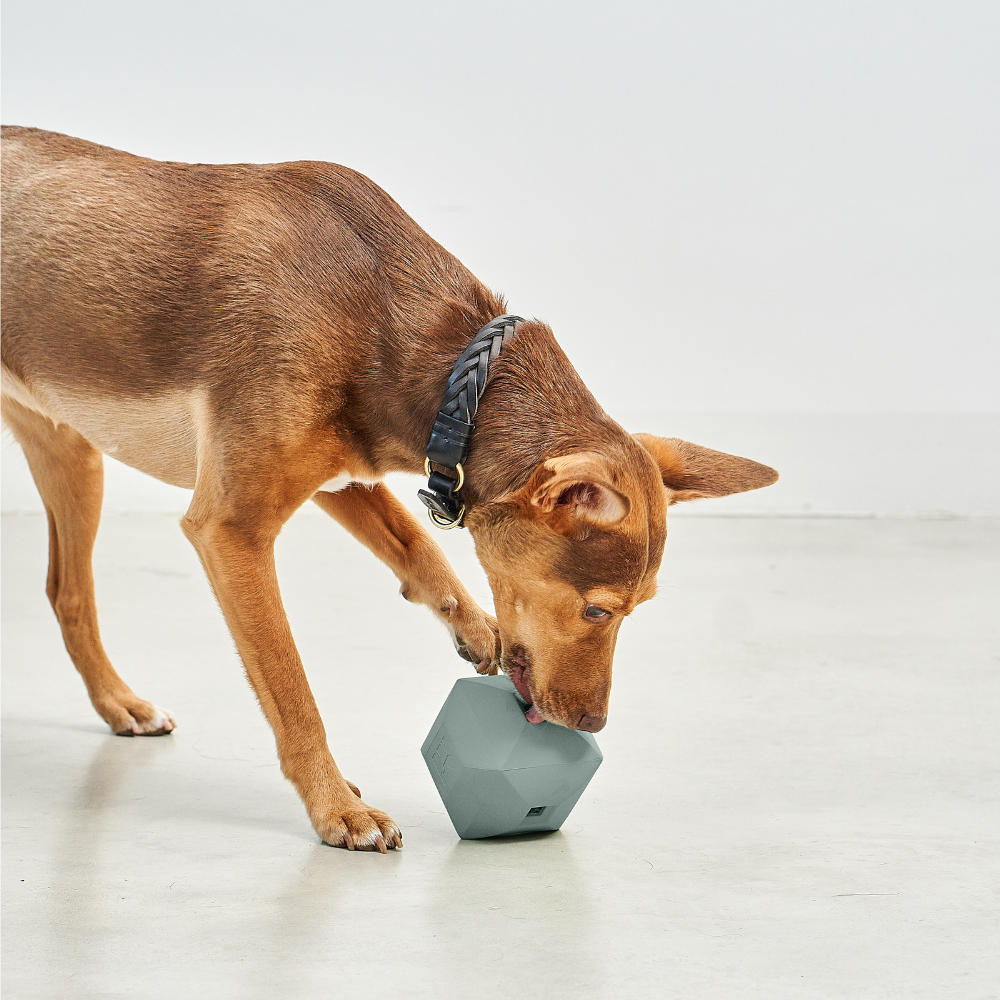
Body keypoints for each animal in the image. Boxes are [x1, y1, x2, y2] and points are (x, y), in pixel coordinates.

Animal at [1, 127, 780, 852]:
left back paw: (117, 703)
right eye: (596, 611)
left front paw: (475, 627)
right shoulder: (231, 528)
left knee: (67, 591)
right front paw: (336, 807)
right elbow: (292, 689)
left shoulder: (346, 472)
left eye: (639, 609)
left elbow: (416, 546)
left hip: (71, 450)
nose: (592, 724)